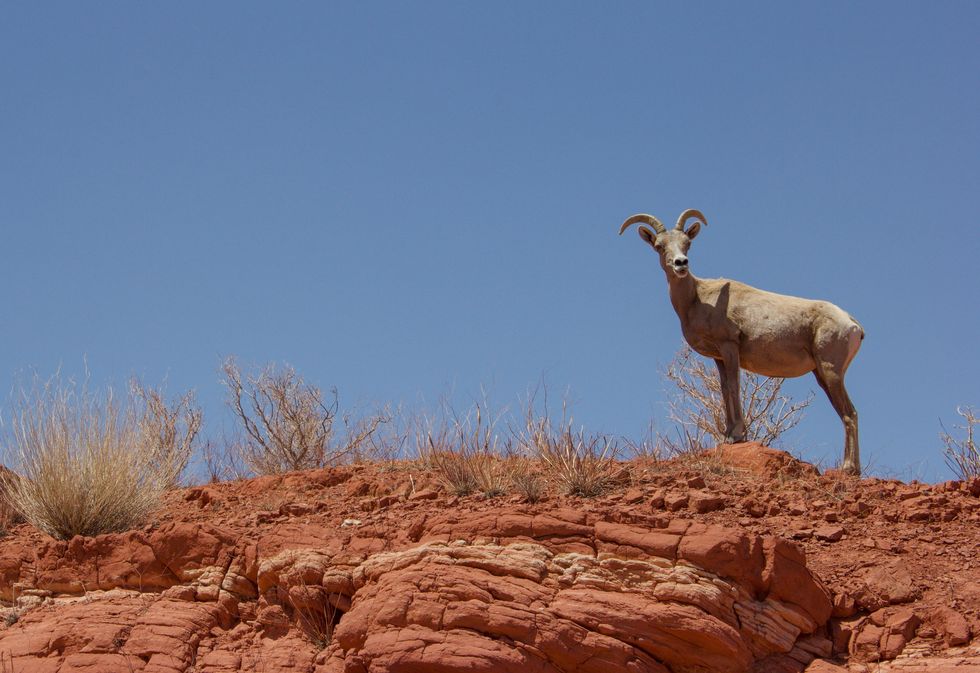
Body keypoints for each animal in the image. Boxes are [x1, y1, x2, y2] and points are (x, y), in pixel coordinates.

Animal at [620, 207, 864, 476]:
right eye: (659, 246)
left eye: (687, 243)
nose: (681, 263)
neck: (697, 298)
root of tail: (852, 324)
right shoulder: (718, 357)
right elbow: (725, 388)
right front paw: (727, 435)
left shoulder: (730, 347)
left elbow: (735, 386)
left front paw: (737, 435)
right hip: (821, 375)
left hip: (831, 372)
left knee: (850, 413)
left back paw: (848, 469)